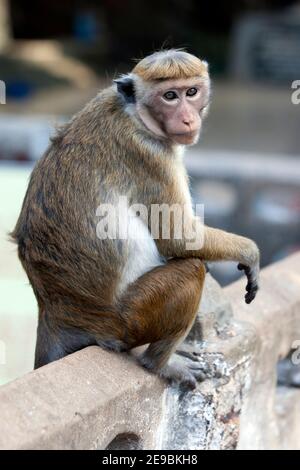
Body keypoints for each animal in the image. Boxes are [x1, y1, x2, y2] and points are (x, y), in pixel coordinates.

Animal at [11, 49, 258, 392]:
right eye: (170, 96)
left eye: (191, 92)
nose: (187, 117)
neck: (134, 114)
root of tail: (57, 312)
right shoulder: (153, 156)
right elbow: (180, 237)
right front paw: (250, 252)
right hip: (129, 319)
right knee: (192, 269)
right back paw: (159, 363)